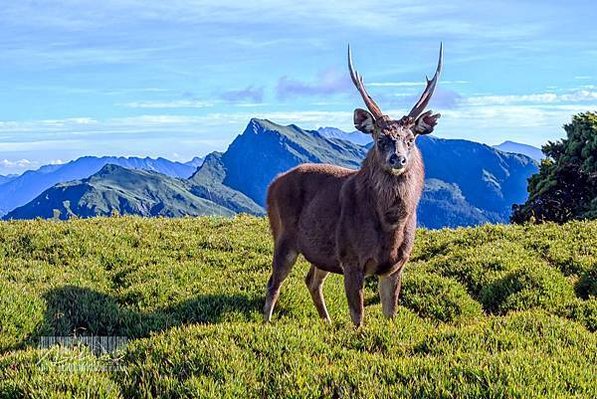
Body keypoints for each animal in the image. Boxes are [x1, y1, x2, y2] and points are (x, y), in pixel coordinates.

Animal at [264, 43, 440, 326]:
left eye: (411, 139)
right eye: (380, 138)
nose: (398, 158)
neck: (390, 227)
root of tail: (273, 183)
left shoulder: (397, 264)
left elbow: (391, 314)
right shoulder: (350, 258)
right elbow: (358, 317)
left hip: (321, 252)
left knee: (311, 280)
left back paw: (327, 322)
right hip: (283, 234)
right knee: (274, 282)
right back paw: (267, 322)